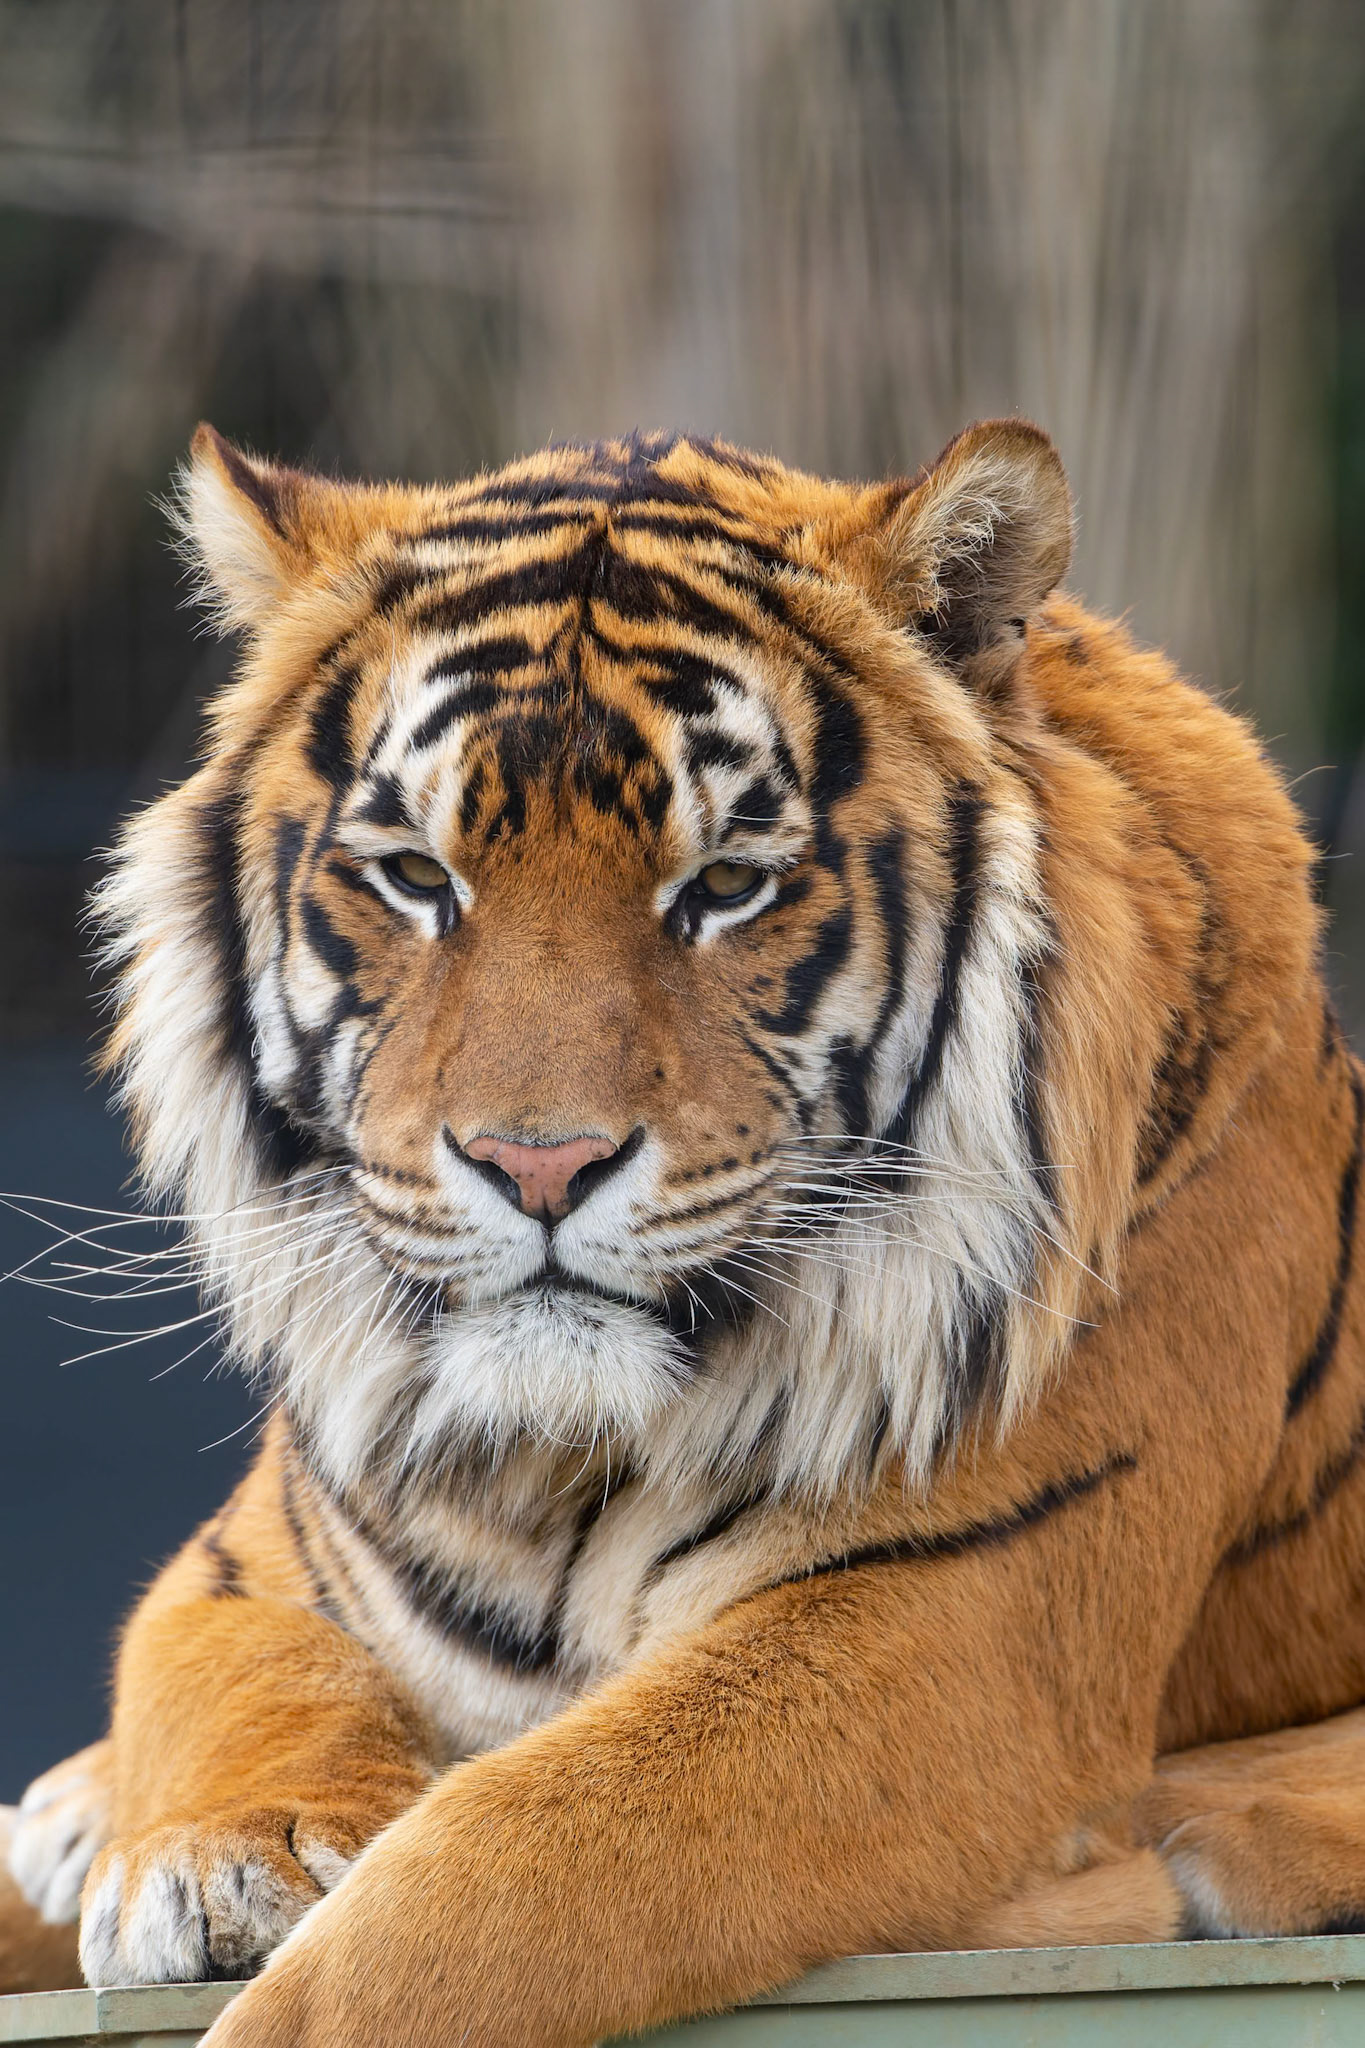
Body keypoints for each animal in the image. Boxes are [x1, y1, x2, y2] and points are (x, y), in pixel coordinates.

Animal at [6, 416, 1365, 2047]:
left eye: (724, 886)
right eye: (415, 876)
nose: (537, 1163)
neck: (557, 1466)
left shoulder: (939, 1622)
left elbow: (490, 1879)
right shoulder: (264, 1546)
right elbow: (218, 1661)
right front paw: (222, 1856)